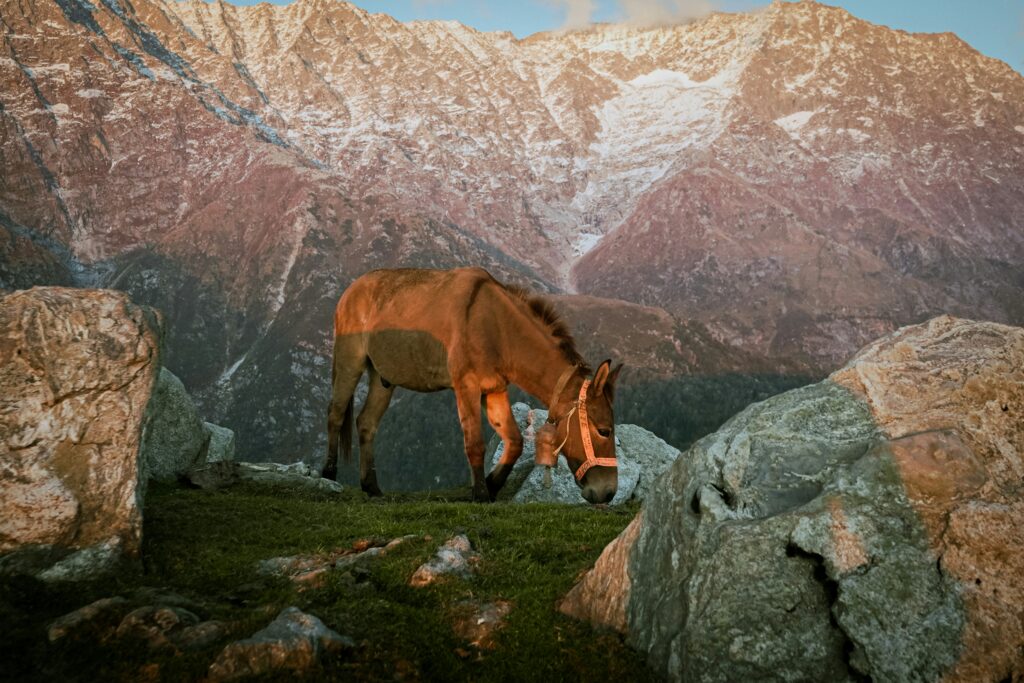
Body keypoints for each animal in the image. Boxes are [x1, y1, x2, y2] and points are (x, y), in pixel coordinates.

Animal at [322, 267, 622, 504]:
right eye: (604, 431)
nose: (608, 492)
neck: (498, 327)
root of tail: (351, 289)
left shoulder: (494, 390)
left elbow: (514, 441)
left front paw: (492, 484)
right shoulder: (466, 386)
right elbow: (474, 443)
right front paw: (480, 493)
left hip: (383, 378)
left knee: (366, 423)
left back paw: (371, 487)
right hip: (350, 362)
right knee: (335, 414)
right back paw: (328, 475)